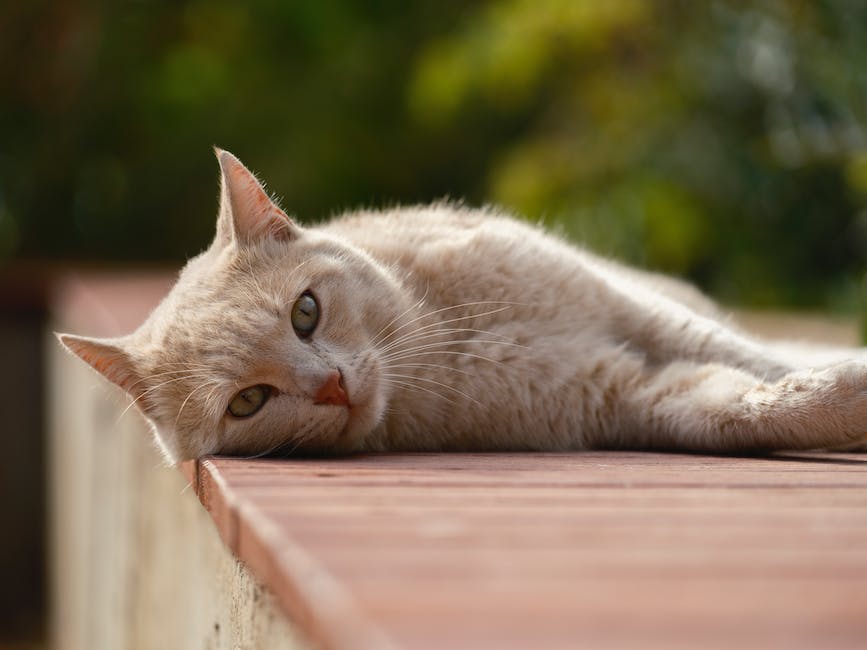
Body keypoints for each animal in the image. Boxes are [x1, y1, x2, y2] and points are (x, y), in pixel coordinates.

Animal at [57, 148, 867, 460]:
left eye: (305, 313)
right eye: (248, 402)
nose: (331, 387)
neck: (449, 343)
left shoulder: (631, 309)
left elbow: (751, 358)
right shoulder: (630, 395)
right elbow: (743, 406)